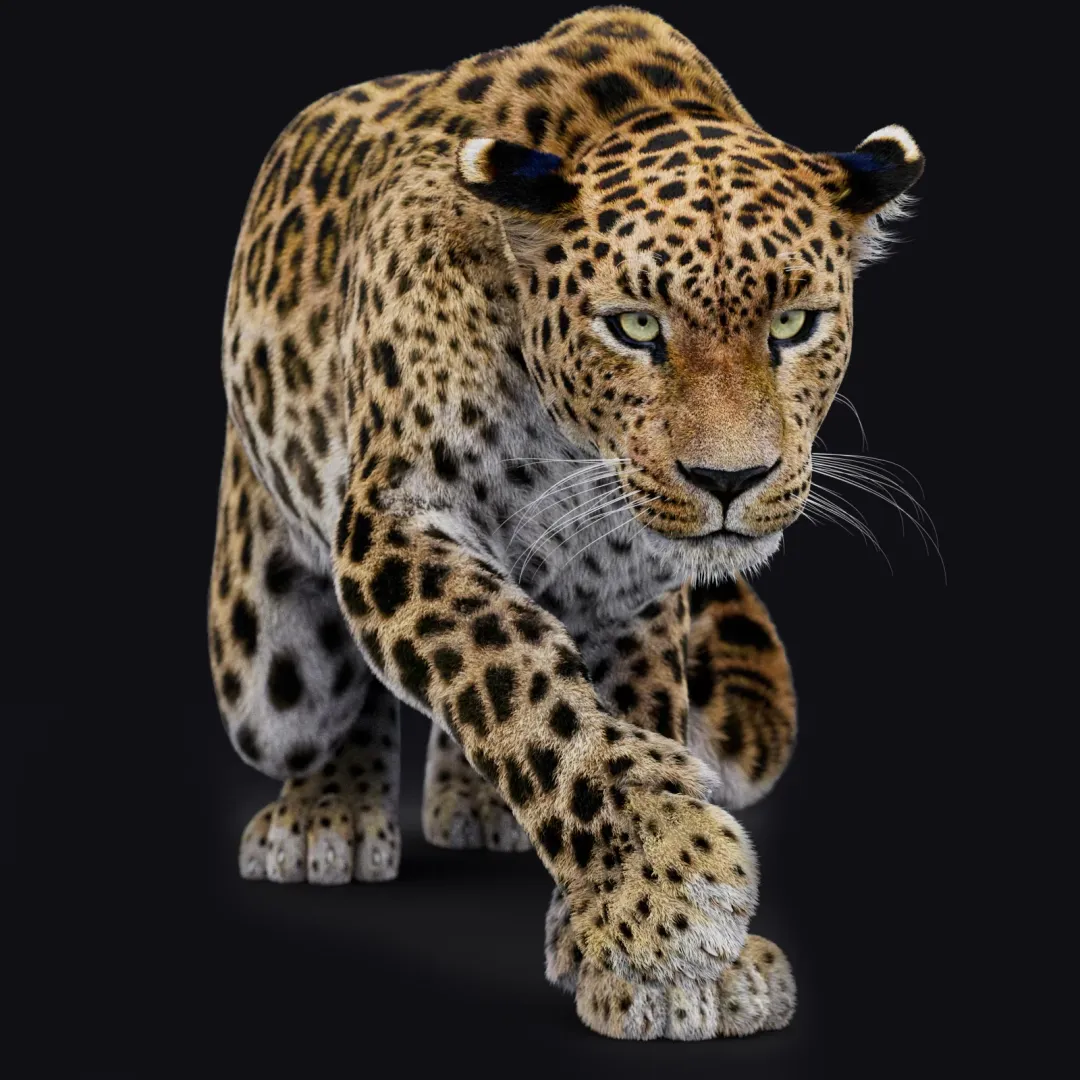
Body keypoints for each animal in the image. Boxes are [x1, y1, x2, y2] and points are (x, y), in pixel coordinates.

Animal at [209, 5, 924, 1041]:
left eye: (794, 325)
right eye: (634, 326)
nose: (732, 479)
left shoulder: (632, 590)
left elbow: (613, 709)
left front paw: (653, 951)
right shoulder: (399, 516)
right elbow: (512, 674)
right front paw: (669, 881)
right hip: (269, 674)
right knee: (327, 694)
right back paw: (327, 815)